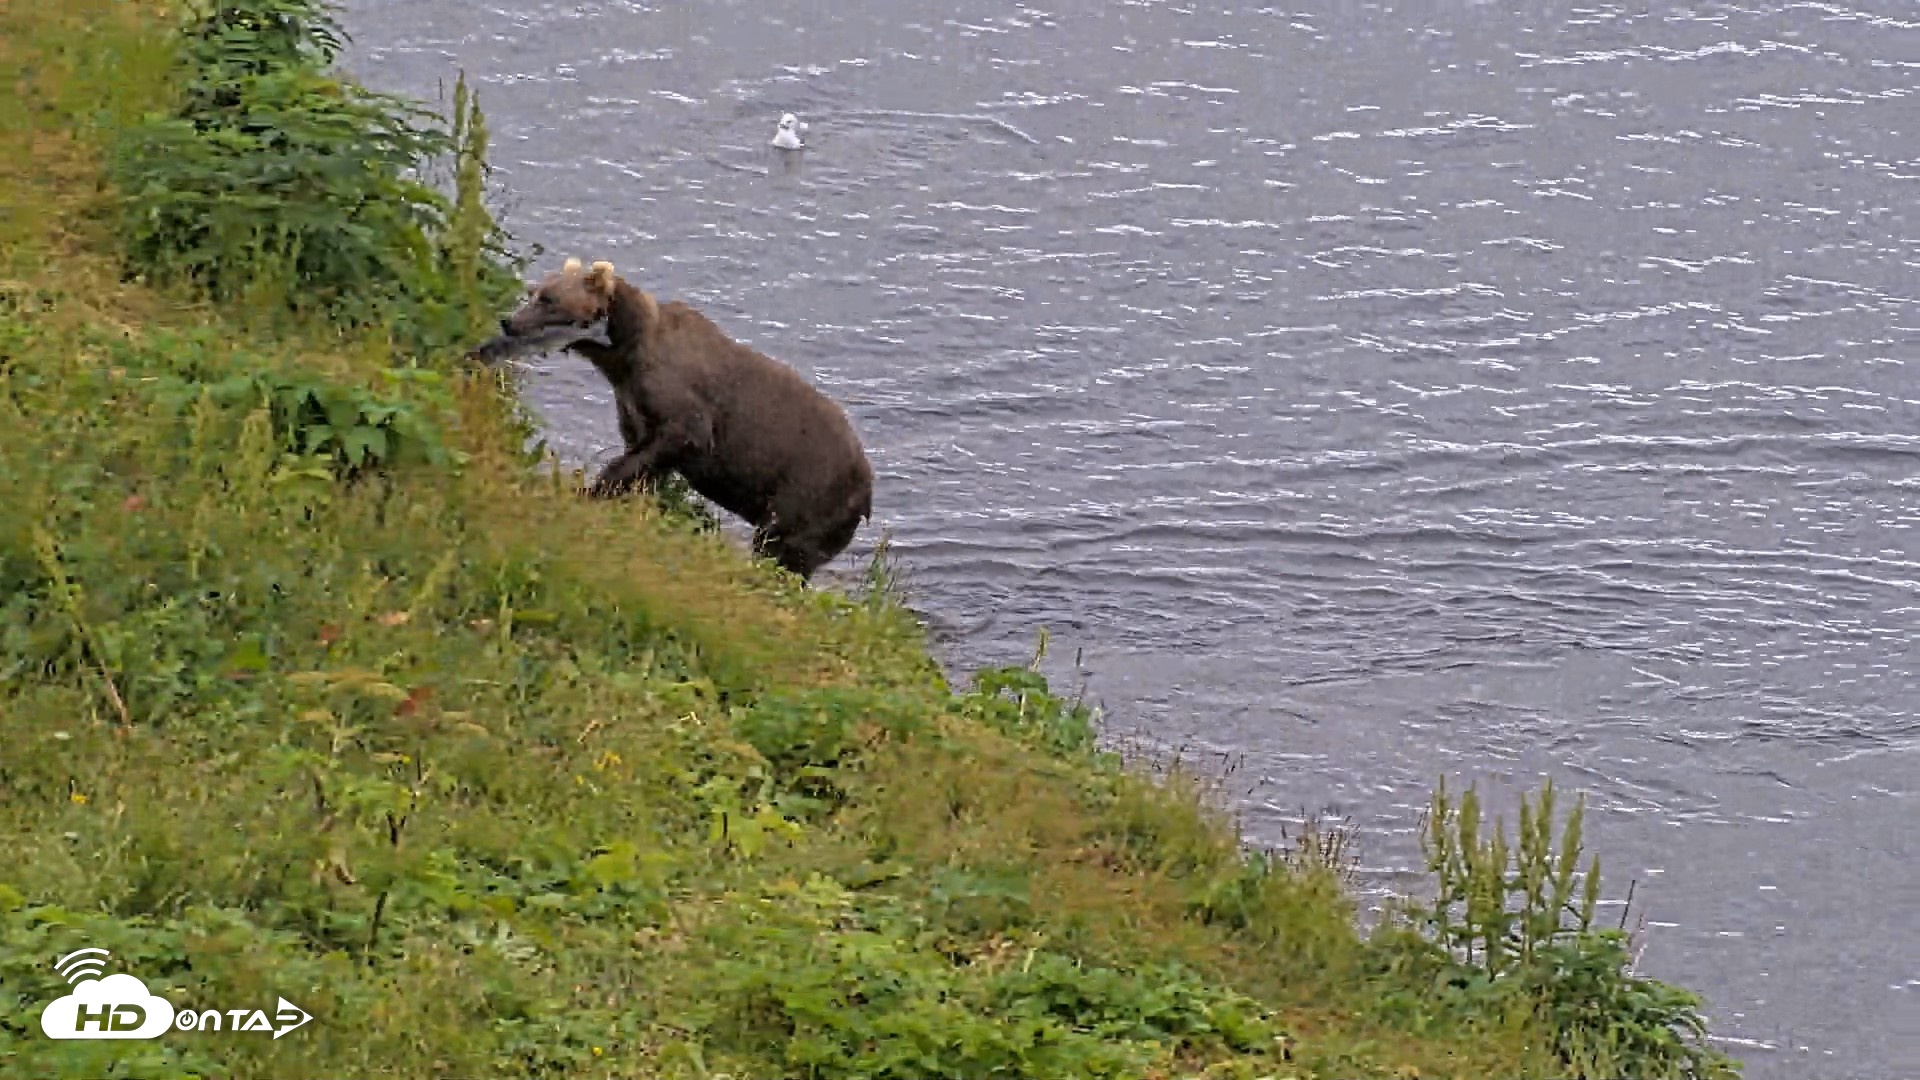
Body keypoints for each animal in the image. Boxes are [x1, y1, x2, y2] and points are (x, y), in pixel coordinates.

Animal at [487, 257, 875, 584]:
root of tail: (867, 487)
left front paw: (591, 489)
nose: (509, 321)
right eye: (534, 291)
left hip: (809, 489)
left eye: (548, 299)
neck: (624, 354)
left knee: (783, 547)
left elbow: (675, 439)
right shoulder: (631, 402)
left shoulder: (679, 399)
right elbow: (643, 458)